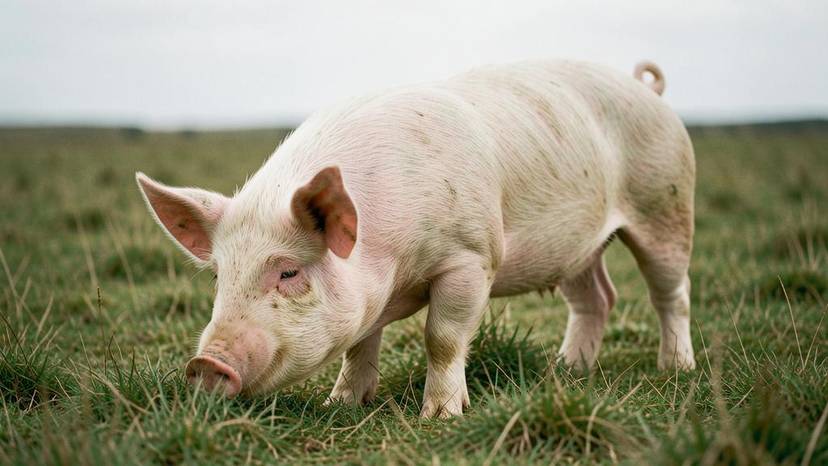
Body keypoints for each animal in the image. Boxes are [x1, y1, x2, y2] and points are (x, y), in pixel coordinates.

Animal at [136, 59, 695, 418]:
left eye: (289, 271)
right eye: (218, 277)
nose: (205, 363)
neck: (392, 266)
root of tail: (647, 89)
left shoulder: (471, 256)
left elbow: (442, 338)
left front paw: (441, 416)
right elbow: (358, 345)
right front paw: (340, 403)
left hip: (666, 203)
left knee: (672, 292)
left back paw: (676, 369)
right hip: (577, 247)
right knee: (596, 298)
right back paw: (568, 371)